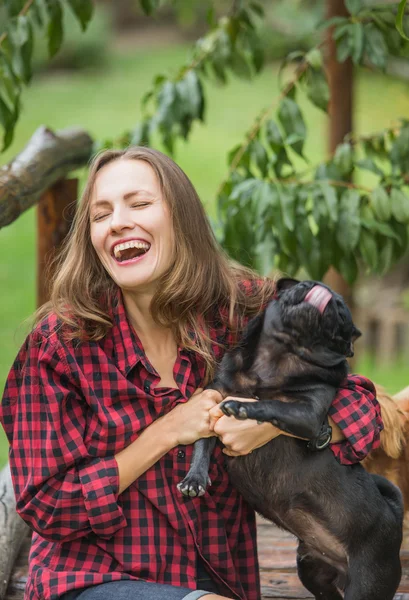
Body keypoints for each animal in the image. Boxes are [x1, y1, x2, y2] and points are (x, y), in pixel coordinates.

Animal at [178, 280, 402, 600]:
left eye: (340, 309)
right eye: (302, 285)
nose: (321, 290)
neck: (279, 357)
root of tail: (394, 517)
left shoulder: (308, 414)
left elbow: (273, 404)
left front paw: (244, 407)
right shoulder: (211, 405)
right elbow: (202, 447)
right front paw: (194, 480)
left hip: (367, 583)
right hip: (310, 569)